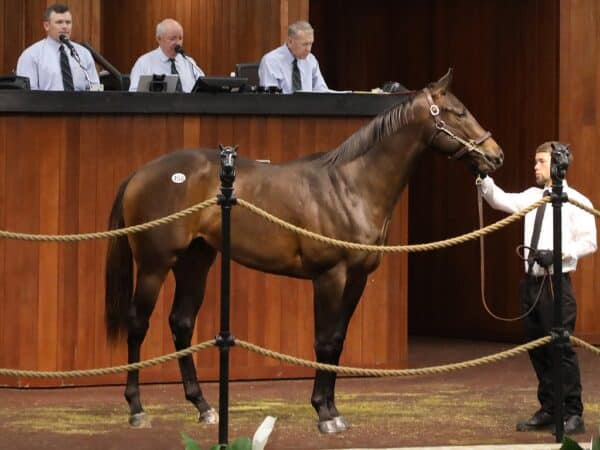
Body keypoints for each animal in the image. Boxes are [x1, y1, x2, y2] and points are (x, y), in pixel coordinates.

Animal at [105, 69, 504, 432]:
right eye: (458, 112)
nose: (496, 156)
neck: (350, 187)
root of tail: (140, 174)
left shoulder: (357, 278)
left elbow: (338, 341)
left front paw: (333, 409)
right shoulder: (329, 276)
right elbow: (324, 341)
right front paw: (324, 414)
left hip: (195, 261)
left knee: (181, 322)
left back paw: (203, 407)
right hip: (155, 265)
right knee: (138, 324)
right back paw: (137, 409)